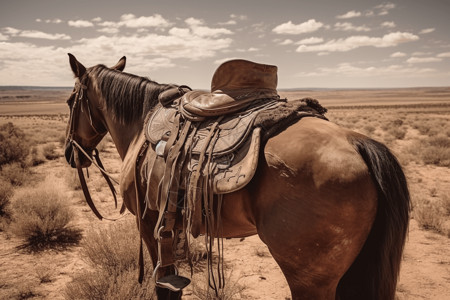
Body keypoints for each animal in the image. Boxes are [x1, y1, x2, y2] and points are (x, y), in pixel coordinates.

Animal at [64, 54, 412, 300]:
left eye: (69, 101)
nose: (70, 153)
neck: (141, 124)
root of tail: (357, 142)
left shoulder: (148, 223)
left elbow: (162, 283)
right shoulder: (172, 224)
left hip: (310, 280)